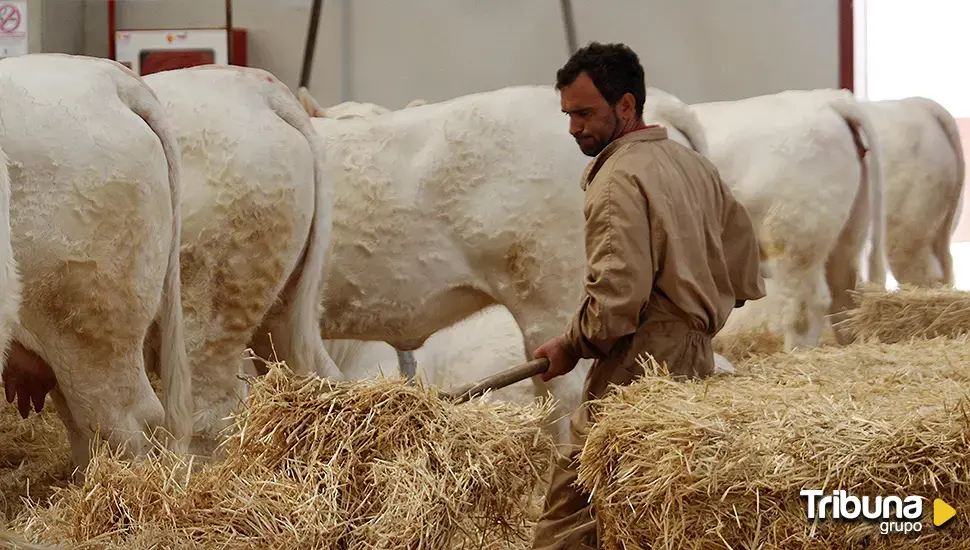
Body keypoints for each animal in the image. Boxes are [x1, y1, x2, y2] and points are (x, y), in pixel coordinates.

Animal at [688, 88, 884, 352]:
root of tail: (828, 98)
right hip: (848, 234)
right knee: (846, 295)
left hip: (795, 237)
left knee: (806, 304)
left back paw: (797, 353)